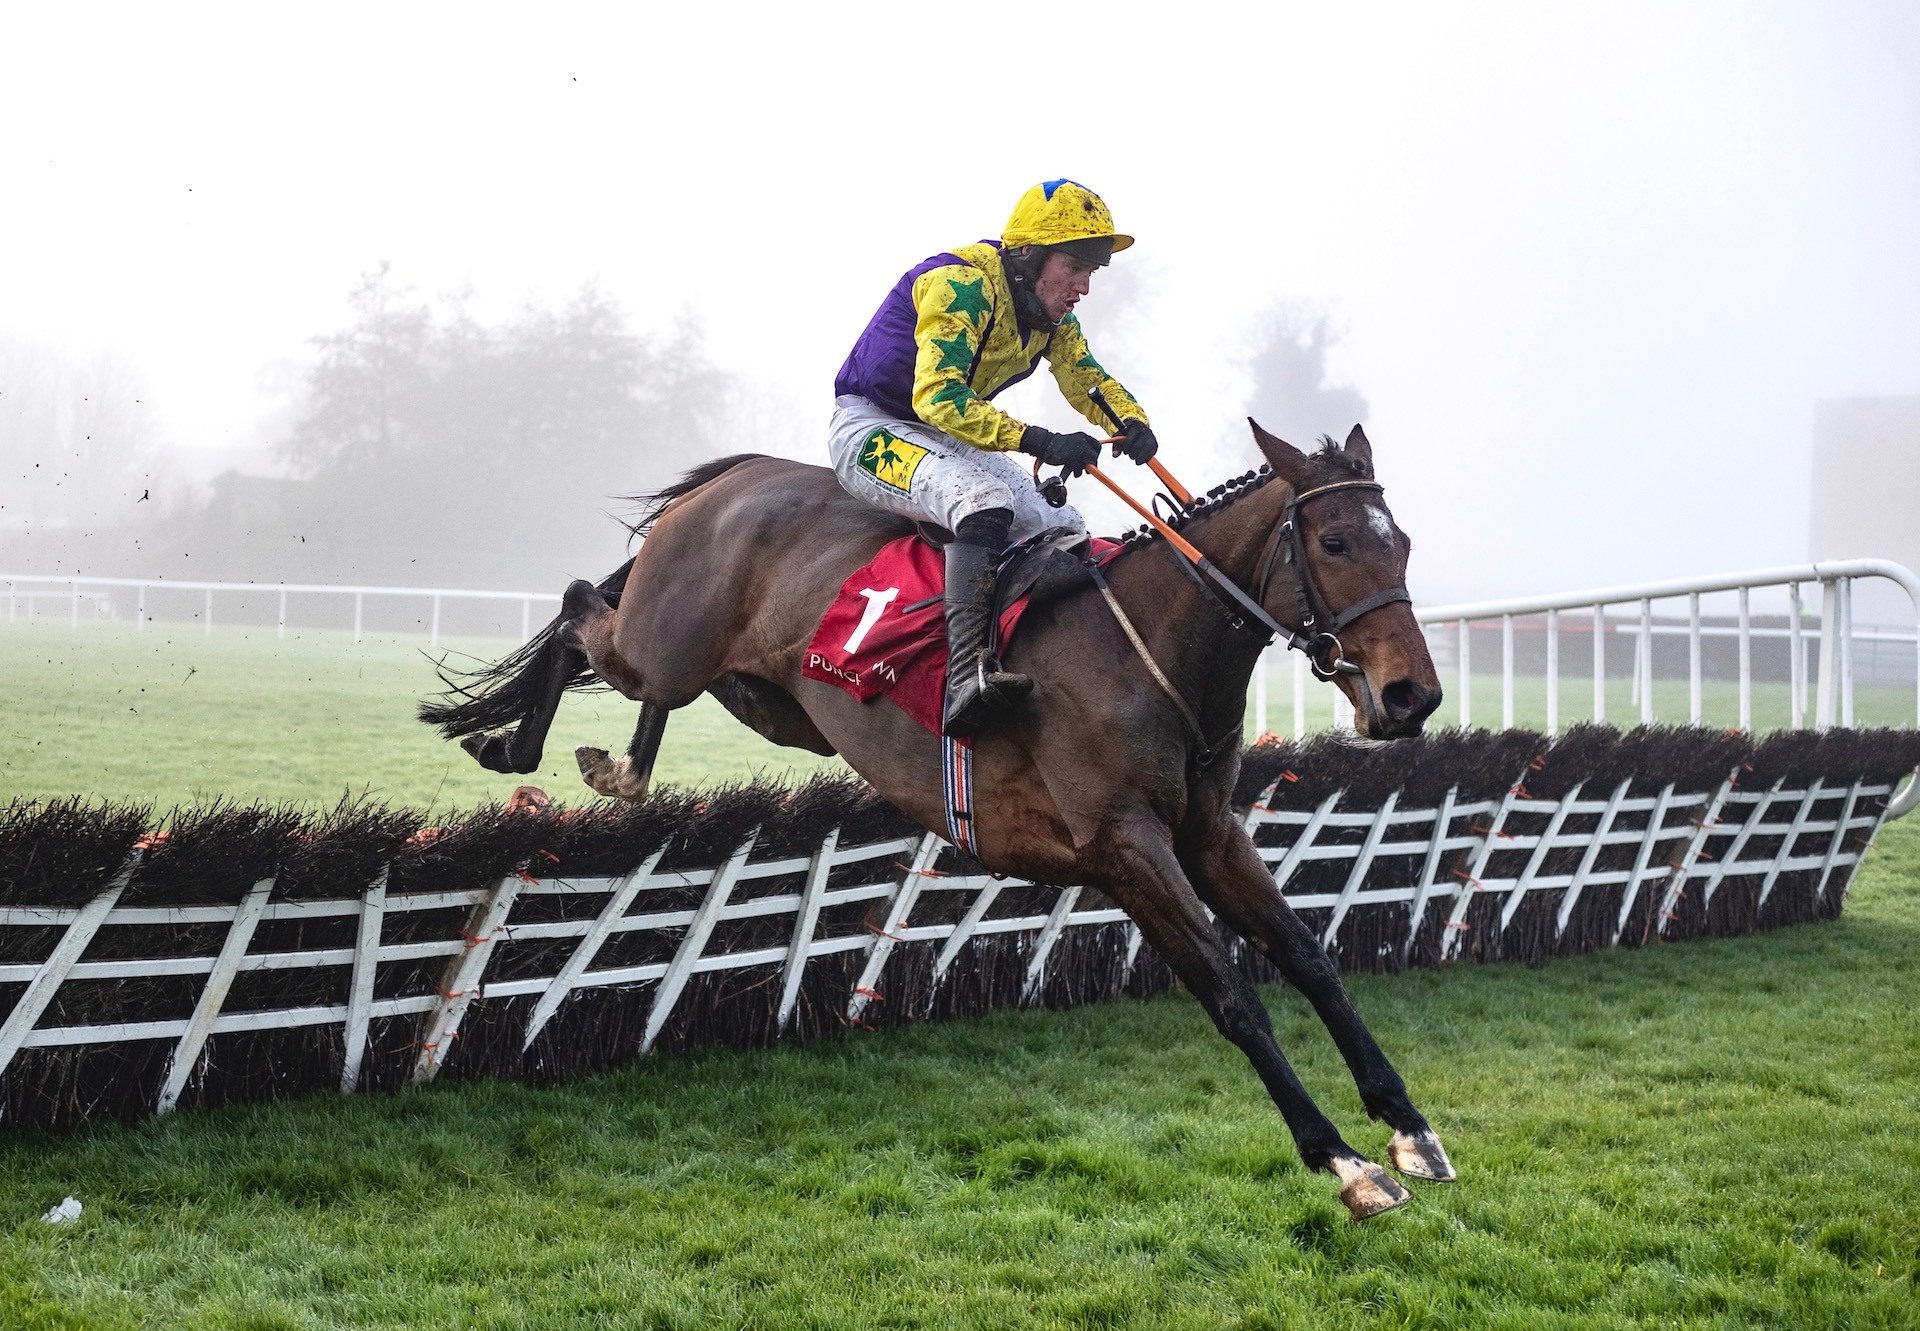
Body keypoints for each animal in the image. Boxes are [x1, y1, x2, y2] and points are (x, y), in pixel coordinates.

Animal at [416, 420, 1443, 1221]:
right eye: (1336, 543)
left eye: (1402, 544)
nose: (1413, 696)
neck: (1150, 648)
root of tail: (730, 480)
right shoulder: (1125, 847)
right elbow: (1232, 992)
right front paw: (1343, 1160)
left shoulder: (1208, 832)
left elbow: (1309, 957)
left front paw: (1409, 1128)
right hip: (664, 644)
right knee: (579, 606)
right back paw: (516, 747)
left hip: (765, 696)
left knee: (629, 658)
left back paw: (620, 767)